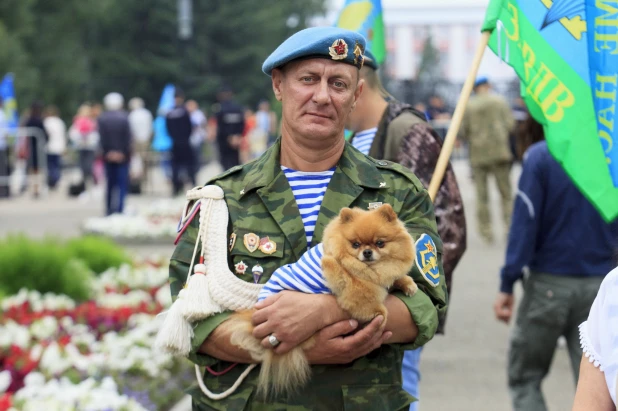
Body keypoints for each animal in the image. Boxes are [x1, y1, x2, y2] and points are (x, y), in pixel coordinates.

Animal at [219, 205, 416, 400]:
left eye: (380, 243)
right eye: (355, 244)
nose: (367, 252)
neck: (371, 268)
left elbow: (393, 279)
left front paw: (407, 284)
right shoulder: (353, 286)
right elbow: (366, 300)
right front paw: (380, 314)